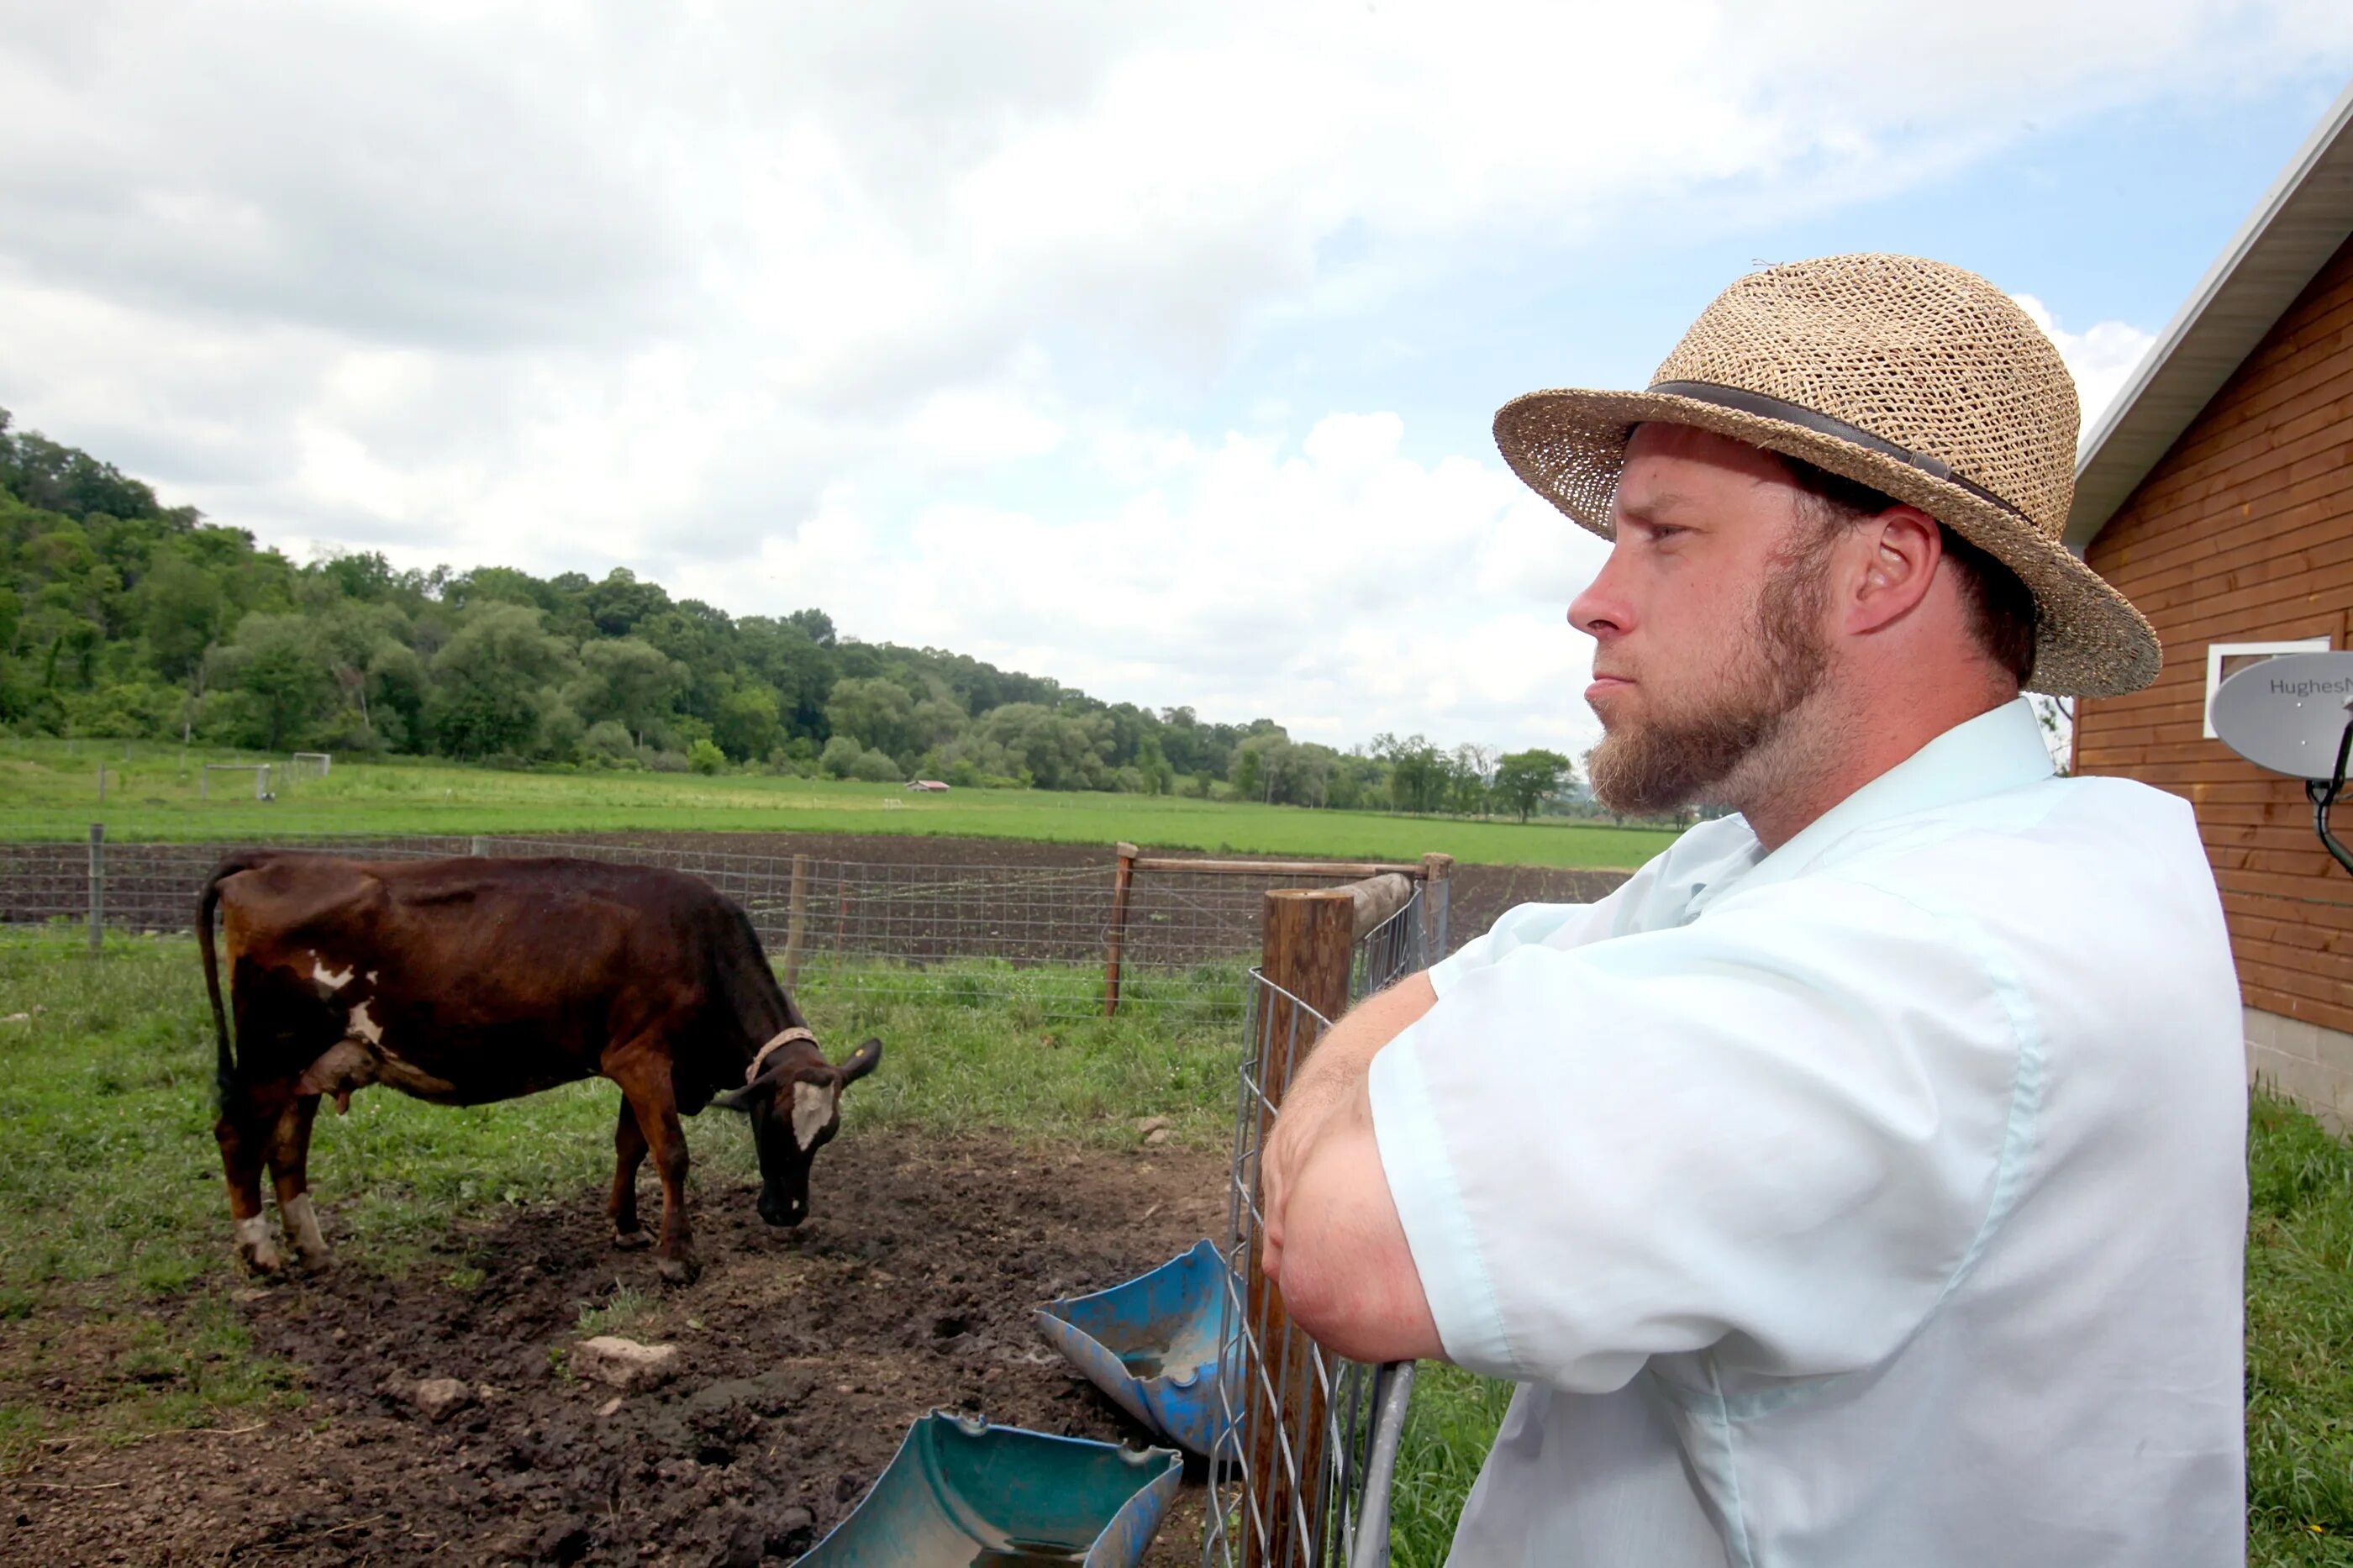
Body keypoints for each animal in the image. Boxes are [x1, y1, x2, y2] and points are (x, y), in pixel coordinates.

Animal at [197, 847, 880, 1281]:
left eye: (827, 1134)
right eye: (770, 1123)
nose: (788, 1212)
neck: (701, 949)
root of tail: (271, 861)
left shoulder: (629, 1059)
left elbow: (629, 1145)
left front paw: (626, 1228)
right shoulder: (645, 1059)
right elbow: (671, 1154)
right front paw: (677, 1258)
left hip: (309, 1067)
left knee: (287, 1149)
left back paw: (312, 1251)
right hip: (269, 1058)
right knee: (237, 1136)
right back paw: (261, 1254)